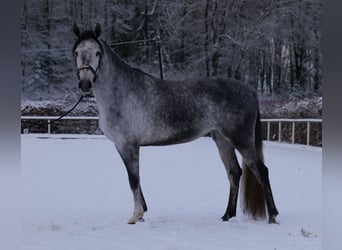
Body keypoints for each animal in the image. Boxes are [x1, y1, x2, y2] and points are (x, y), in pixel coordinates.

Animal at [72, 23, 278, 224]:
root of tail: (250, 91)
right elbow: (136, 179)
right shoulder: (121, 146)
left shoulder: (129, 145)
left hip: (241, 140)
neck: (121, 92)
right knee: (234, 173)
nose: (84, 84)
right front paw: (142, 213)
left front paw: (136, 215)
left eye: (97, 53)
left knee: (261, 171)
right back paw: (227, 215)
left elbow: (133, 179)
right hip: (222, 140)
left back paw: (272, 216)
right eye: (76, 52)